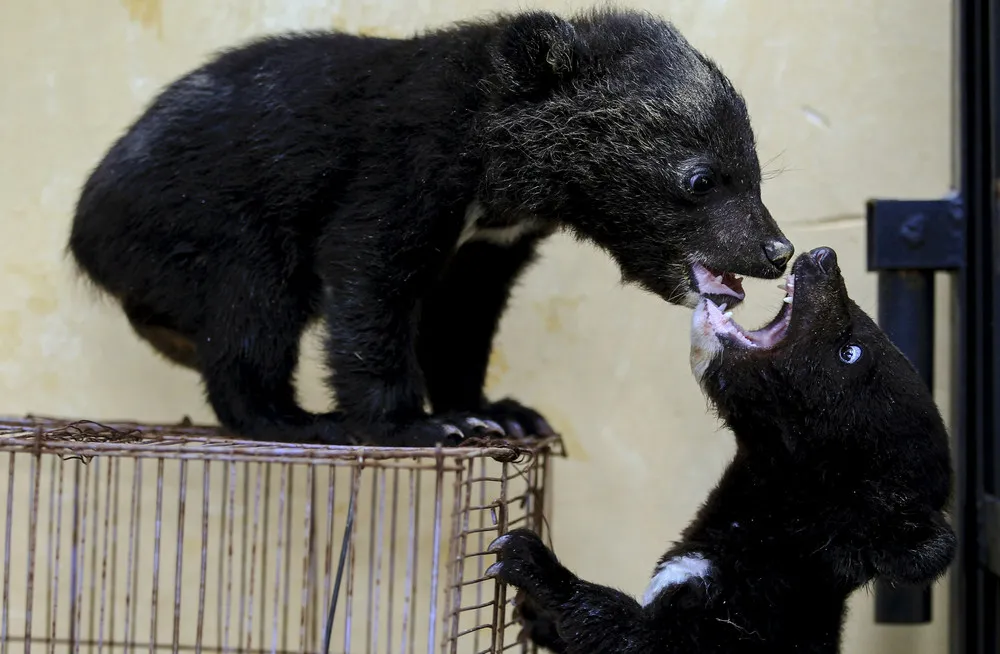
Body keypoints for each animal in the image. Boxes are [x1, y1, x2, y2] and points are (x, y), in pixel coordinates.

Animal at [67, 8, 793, 447]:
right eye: (701, 180)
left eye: (756, 173)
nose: (777, 251)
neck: (504, 175)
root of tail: (84, 224)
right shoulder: (406, 166)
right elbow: (368, 271)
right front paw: (419, 426)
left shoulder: (491, 245)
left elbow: (462, 315)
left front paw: (499, 413)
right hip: (199, 225)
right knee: (254, 306)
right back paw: (296, 419)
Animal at [486, 246, 956, 653]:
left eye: (850, 353)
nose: (825, 256)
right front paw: (535, 616)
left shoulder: (730, 627)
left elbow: (638, 638)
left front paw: (526, 559)